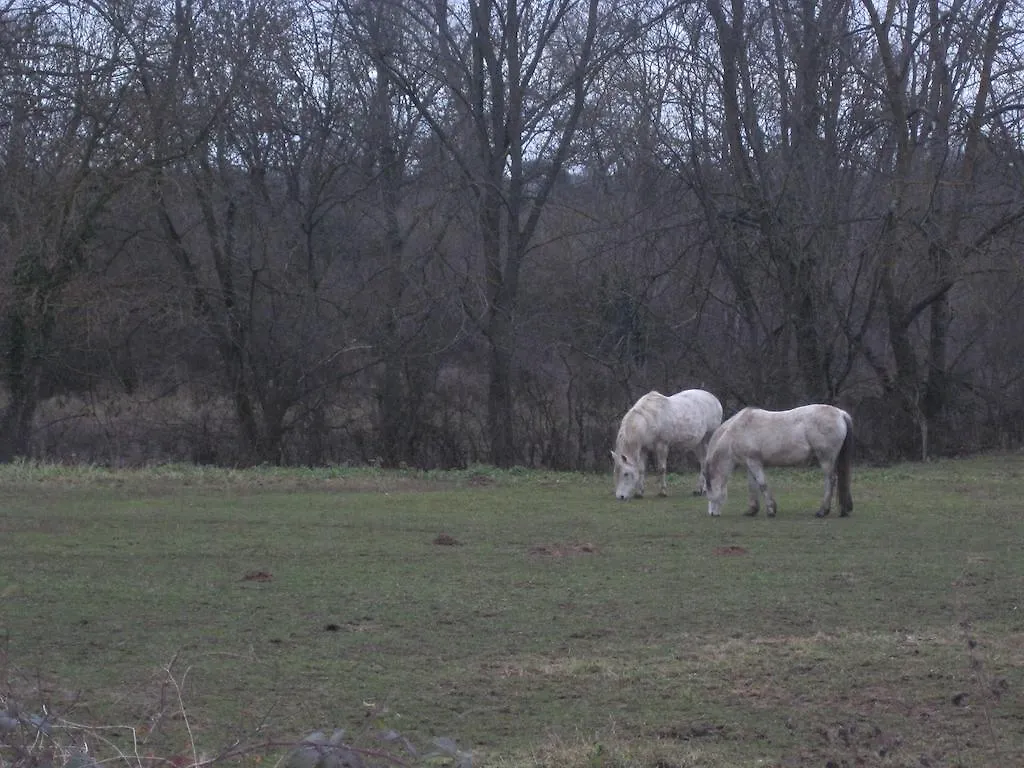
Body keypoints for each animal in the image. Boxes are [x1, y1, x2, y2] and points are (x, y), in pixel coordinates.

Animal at [704, 405, 856, 520]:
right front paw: (752, 510)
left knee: (830, 480)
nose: (712, 514)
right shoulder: (750, 463)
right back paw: (843, 510)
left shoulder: (754, 462)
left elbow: (762, 485)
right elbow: (752, 486)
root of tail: (840, 413)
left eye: (707, 490)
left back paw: (822, 511)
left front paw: (771, 510)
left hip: (826, 459)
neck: (738, 430)